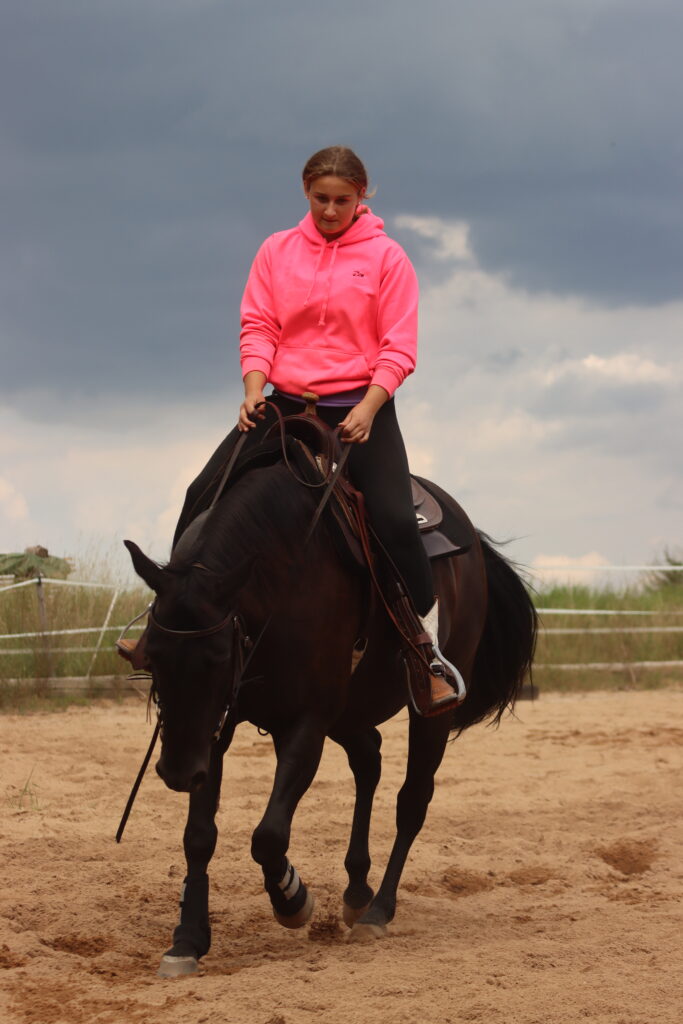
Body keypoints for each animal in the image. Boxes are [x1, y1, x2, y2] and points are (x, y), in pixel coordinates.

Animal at [125, 440, 536, 974]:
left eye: (217, 657)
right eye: (152, 656)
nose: (175, 772)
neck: (279, 571)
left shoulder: (307, 720)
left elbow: (268, 834)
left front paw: (293, 899)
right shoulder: (217, 726)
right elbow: (198, 834)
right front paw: (187, 939)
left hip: (430, 713)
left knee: (412, 800)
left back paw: (378, 909)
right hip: (350, 713)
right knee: (369, 759)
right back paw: (357, 889)